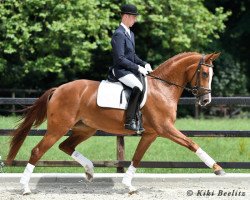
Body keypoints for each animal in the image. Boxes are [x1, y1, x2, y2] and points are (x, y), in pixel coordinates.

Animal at [6, 51, 225, 194]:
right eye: (204, 73)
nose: (206, 101)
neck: (163, 88)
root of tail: (58, 89)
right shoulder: (165, 129)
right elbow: (191, 143)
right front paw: (217, 168)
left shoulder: (151, 134)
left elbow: (137, 157)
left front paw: (129, 185)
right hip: (58, 127)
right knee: (37, 151)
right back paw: (25, 188)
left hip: (85, 129)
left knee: (66, 146)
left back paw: (89, 170)